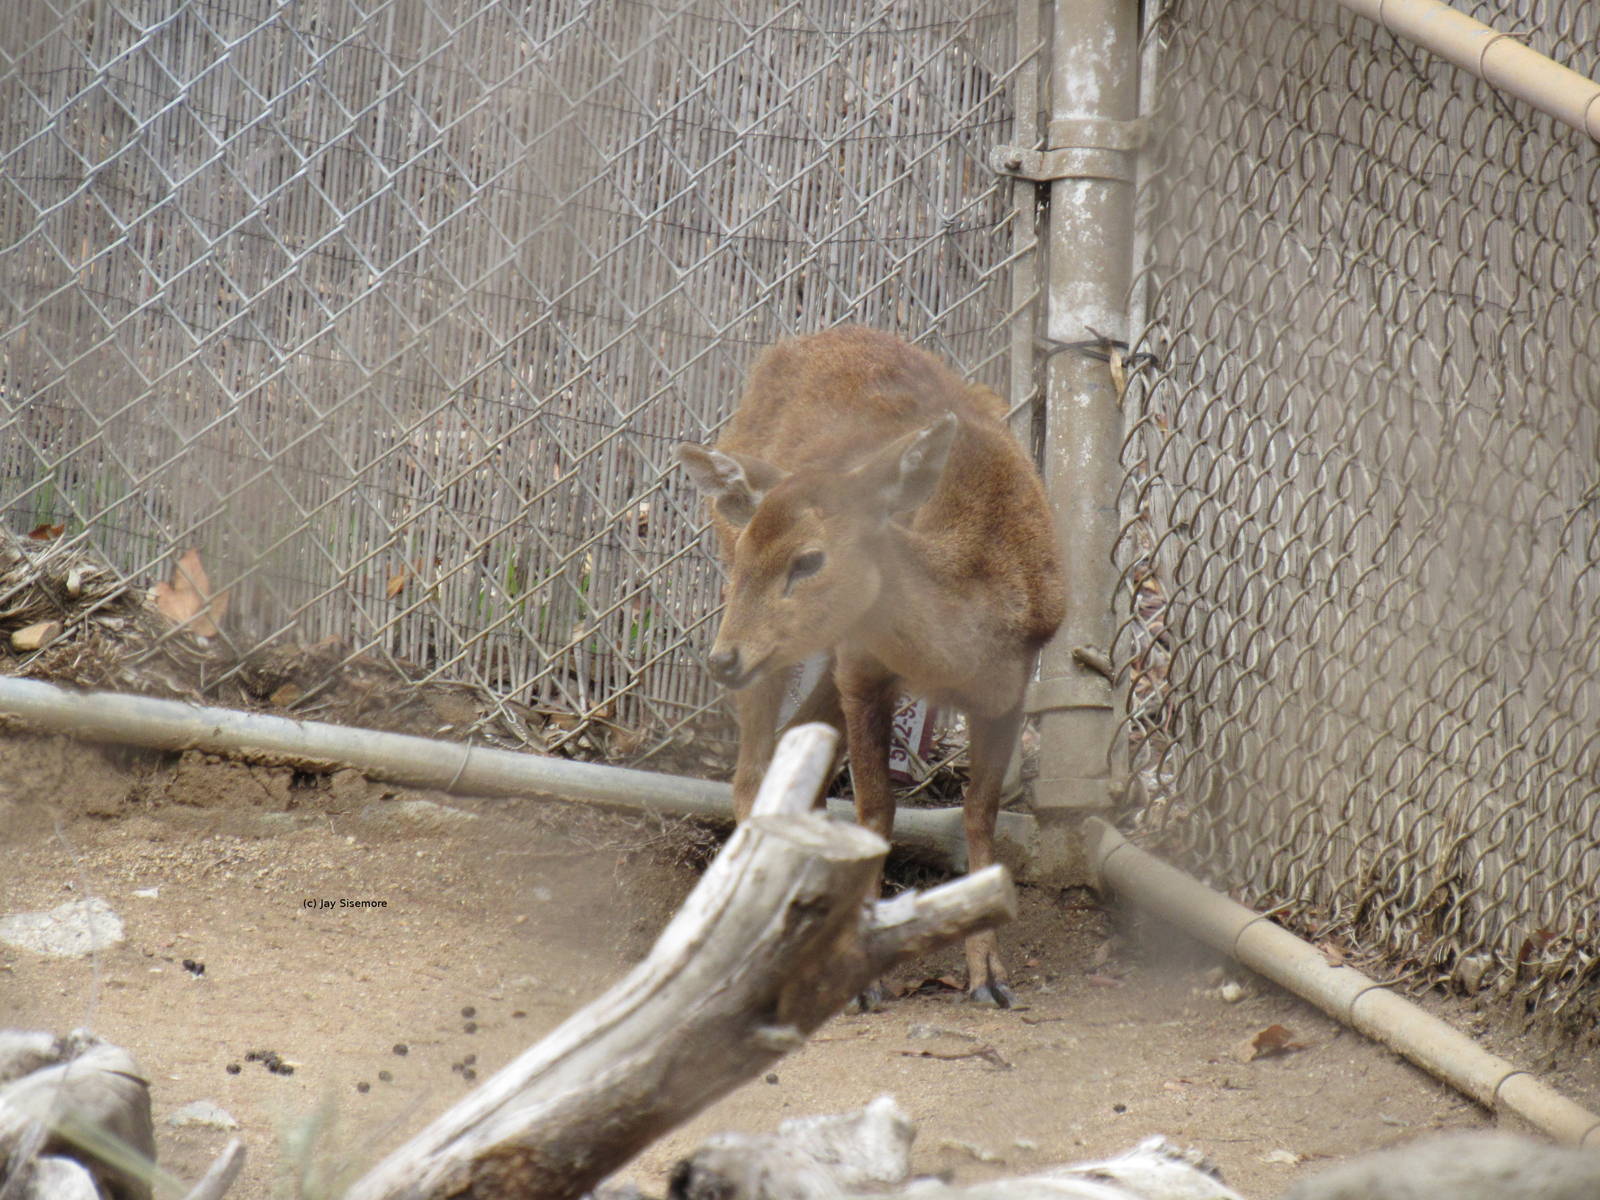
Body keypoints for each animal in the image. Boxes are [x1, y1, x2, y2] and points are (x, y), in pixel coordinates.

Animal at [676, 325, 1065, 1008]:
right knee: (750, 771)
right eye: (752, 551)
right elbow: (875, 812)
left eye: (809, 560)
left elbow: (980, 813)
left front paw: (990, 975)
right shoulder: (863, 667)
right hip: (782, 646)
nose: (721, 659)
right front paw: (863, 979)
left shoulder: (1013, 687)